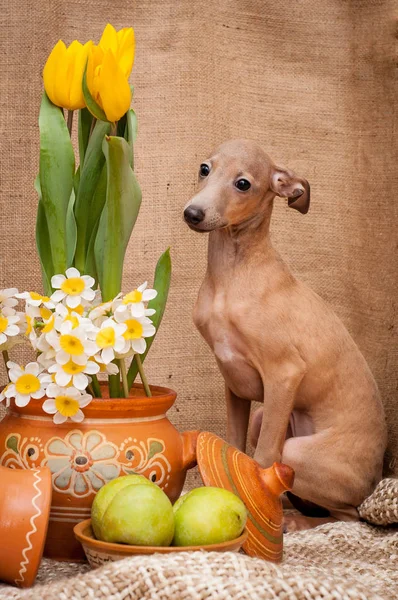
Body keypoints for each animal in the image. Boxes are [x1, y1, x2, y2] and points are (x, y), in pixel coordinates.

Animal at [185, 138, 388, 528]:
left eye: (243, 183)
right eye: (204, 169)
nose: (193, 213)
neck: (232, 274)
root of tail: (374, 479)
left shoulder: (284, 374)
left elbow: (262, 458)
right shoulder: (235, 385)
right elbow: (233, 446)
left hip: (296, 451)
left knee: (346, 516)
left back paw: (295, 521)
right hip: (263, 418)